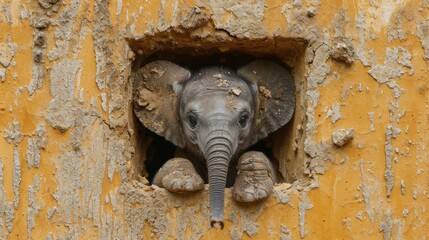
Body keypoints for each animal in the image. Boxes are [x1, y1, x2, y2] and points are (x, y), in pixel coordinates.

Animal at [133, 60, 294, 229]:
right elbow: (156, 182)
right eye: (192, 120)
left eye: (243, 119)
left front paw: (253, 191)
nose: (217, 224)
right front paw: (184, 183)